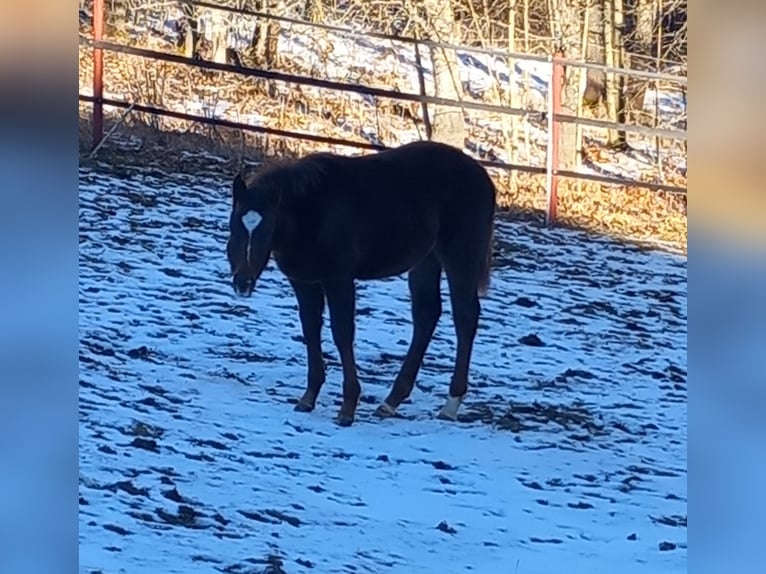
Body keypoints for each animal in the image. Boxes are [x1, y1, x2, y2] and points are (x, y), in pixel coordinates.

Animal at [225, 140, 496, 427]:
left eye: (265, 231)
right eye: (234, 229)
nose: (242, 283)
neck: (312, 211)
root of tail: (483, 177)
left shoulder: (339, 278)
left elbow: (342, 333)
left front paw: (347, 408)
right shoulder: (304, 282)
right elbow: (311, 329)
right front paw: (308, 398)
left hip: (459, 255)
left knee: (465, 316)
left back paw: (450, 405)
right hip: (426, 259)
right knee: (426, 315)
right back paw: (390, 402)